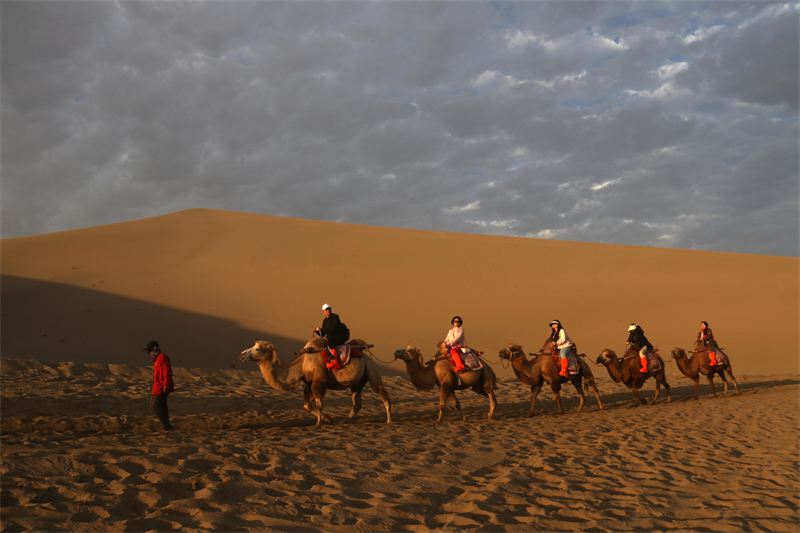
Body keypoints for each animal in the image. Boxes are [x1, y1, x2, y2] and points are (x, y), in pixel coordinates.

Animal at [241, 336, 394, 424]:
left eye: (258, 348)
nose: (242, 354)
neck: (301, 365)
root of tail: (368, 356)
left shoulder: (318, 381)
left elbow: (319, 404)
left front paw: (319, 423)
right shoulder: (308, 383)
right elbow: (307, 406)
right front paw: (327, 419)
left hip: (371, 369)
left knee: (383, 394)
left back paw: (389, 420)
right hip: (357, 383)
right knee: (357, 402)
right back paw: (346, 420)